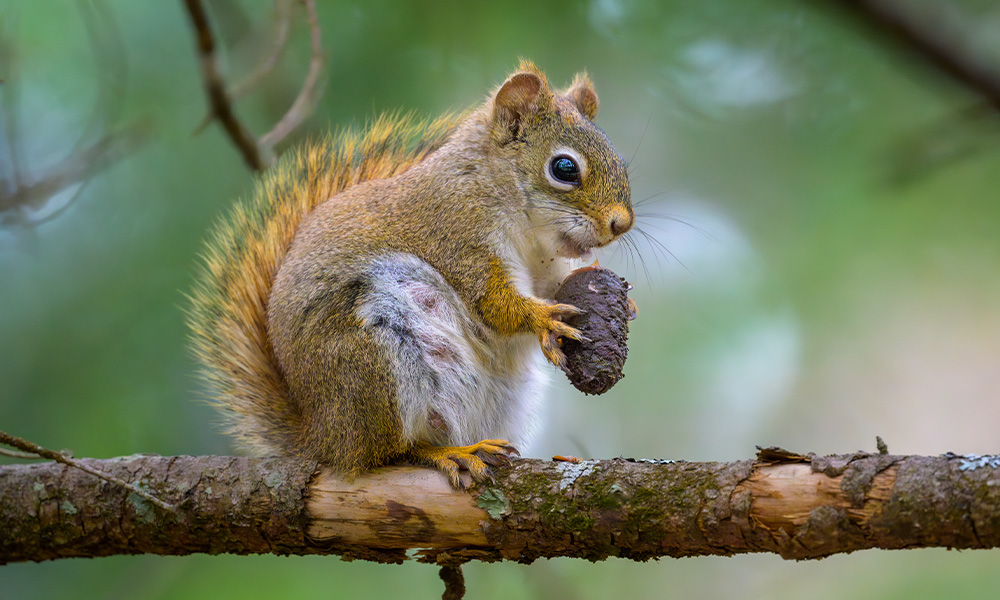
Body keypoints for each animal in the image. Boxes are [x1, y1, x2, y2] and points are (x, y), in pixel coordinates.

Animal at [188, 61, 633, 487]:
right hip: (375, 361)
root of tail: (324, 437)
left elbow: (552, 286)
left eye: (621, 161)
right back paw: (449, 453)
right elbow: (492, 302)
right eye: (564, 168)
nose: (621, 224)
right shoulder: (456, 235)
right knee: (388, 453)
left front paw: (622, 302)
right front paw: (544, 318)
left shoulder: (542, 265)